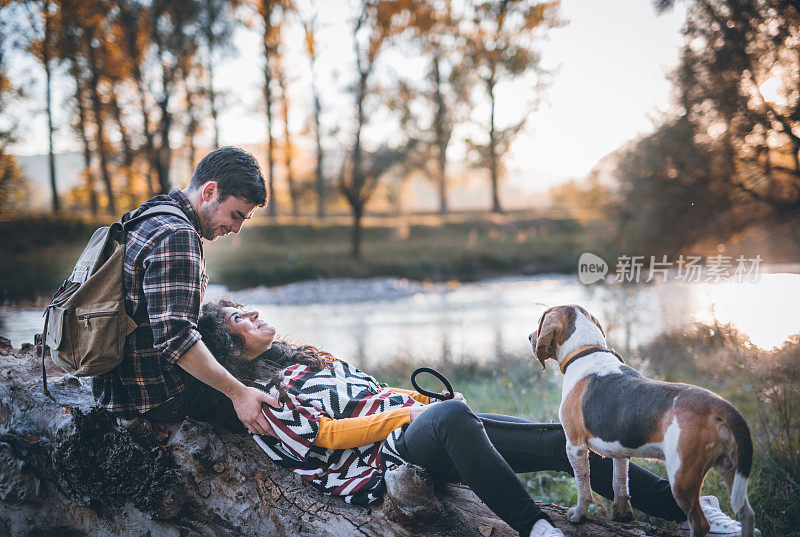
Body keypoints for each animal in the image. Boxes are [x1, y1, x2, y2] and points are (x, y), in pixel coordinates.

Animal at [528, 306, 752, 536]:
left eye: (539, 321)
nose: (528, 337)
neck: (586, 351)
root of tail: (718, 404)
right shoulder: (618, 450)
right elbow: (620, 484)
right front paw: (622, 514)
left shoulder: (575, 446)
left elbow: (583, 487)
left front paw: (578, 515)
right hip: (731, 472)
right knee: (747, 514)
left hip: (682, 477)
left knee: (700, 523)